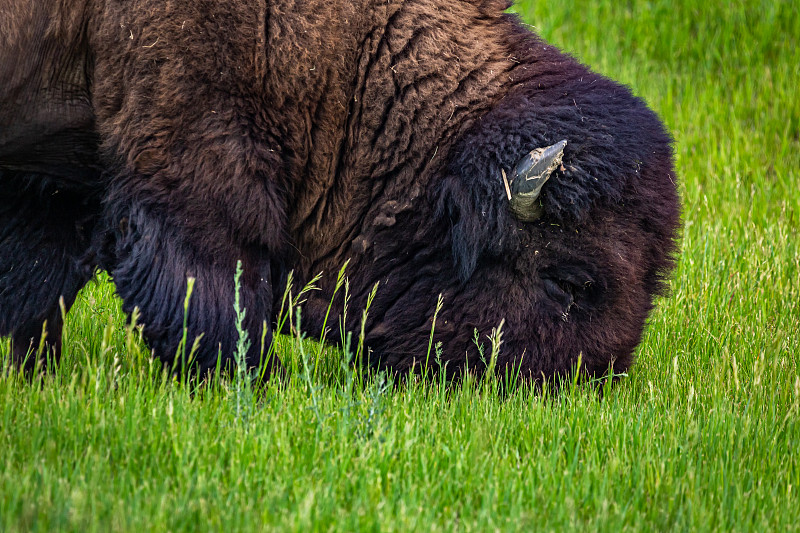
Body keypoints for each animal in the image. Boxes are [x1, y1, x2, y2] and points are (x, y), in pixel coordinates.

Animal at [1, 0, 680, 382]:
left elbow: (36, 280)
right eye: (571, 282)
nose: (590, 386)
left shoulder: (57, 170)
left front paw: (31, 373)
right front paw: (260, 383)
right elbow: (215, 288)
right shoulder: (193, 165)